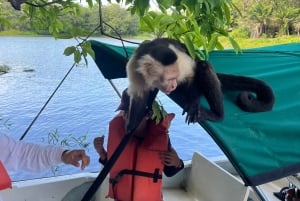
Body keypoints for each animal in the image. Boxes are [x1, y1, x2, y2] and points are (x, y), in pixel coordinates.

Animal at [125, 37, 276, 133]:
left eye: (174, 78)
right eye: (169, 79)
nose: (173, 86)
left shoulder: (180, 61)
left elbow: (192, 74)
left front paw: (193, 104)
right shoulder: (134, 67)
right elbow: (139, 97)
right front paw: (131, 126)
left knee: (203, 66)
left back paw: (217, 114)